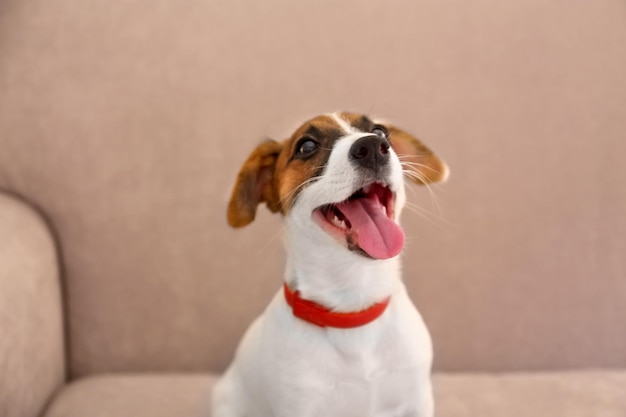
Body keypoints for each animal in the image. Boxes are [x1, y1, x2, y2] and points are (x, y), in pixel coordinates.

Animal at [212, 111, 446, 416]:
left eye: (380, 131)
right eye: (307, 147)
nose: (373, 147)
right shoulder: (300, 406)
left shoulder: (416, 401)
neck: (353, 309)